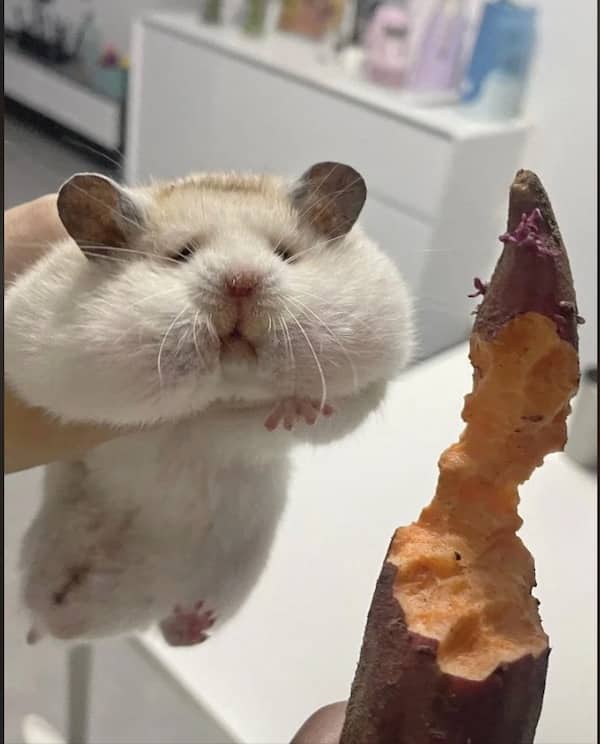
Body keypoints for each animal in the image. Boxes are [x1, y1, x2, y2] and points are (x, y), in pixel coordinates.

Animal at [5, 162, 414, 647]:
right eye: (182, 254)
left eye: (285, 253)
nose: (241, 282)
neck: (230, 383)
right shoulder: (57, 362)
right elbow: (147, 373)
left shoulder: (371, 378)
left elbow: (334, 413)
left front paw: (295, 407)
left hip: (232, 576)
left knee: (169, 629)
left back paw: (193, 620)